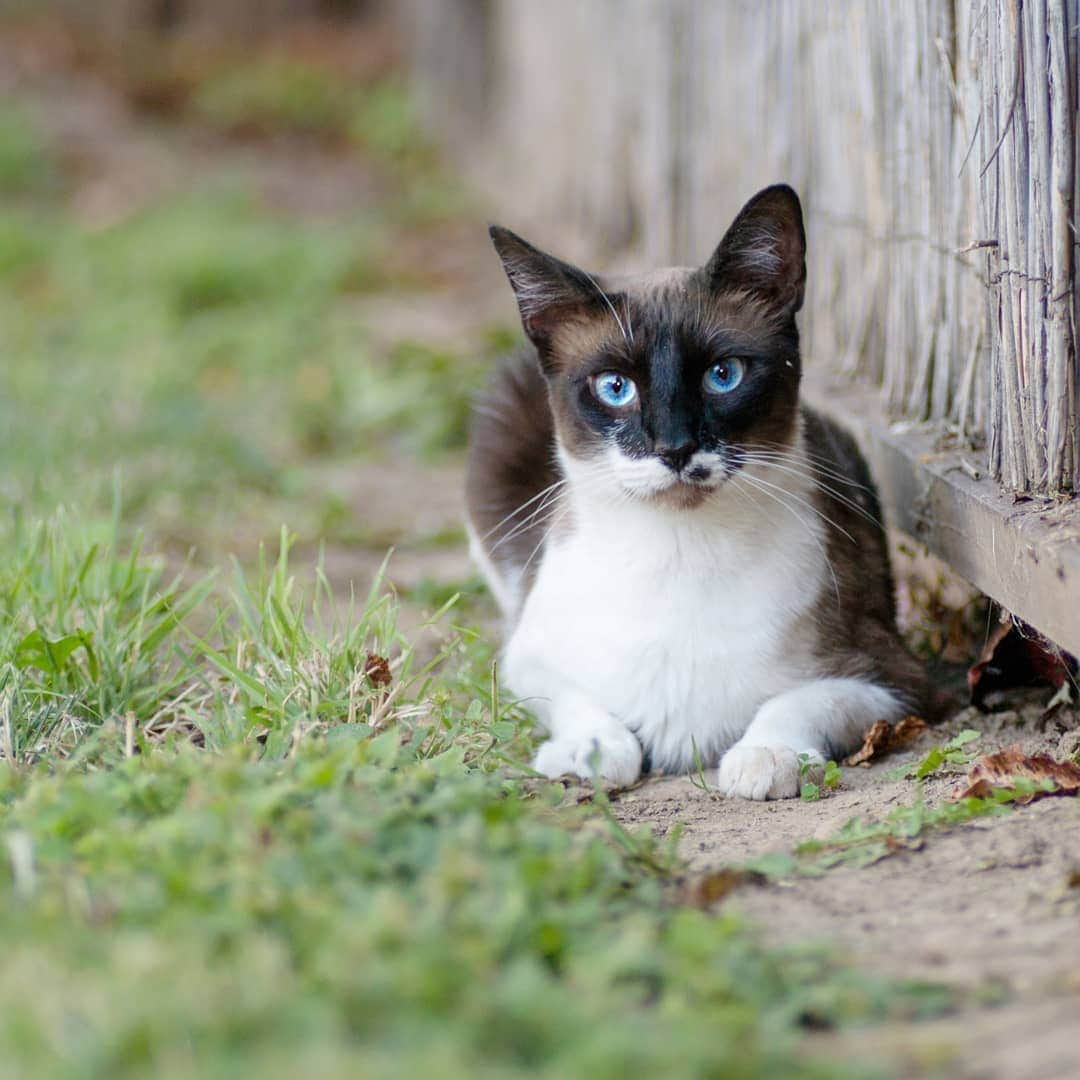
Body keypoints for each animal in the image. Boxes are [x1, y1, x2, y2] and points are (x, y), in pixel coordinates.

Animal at [466, 181, 937, 799]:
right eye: (615, 388)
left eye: (723, 375)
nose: (674, 446)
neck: (681, 551)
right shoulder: (526, 659)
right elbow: (585, 711)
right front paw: (588, 754)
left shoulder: (897, 681)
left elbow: (798, 701)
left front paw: (765, 757)